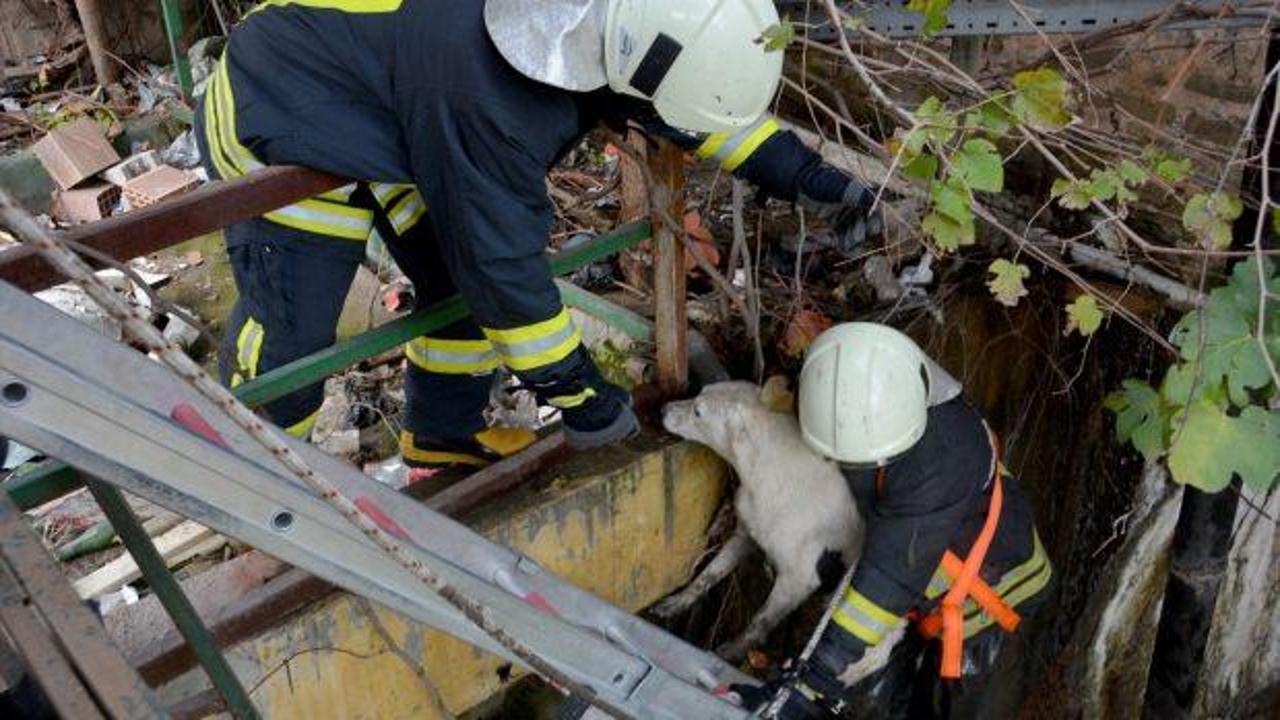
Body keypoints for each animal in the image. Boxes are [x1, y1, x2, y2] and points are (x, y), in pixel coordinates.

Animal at [660, 379, 860, 661]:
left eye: (698, 412)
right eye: (701, 390)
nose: (662, 409)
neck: (768, 471)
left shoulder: (799, 577)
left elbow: (760, 622)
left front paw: (732, 651)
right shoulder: (744, 535)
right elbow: (707, 575)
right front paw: (678, 601)